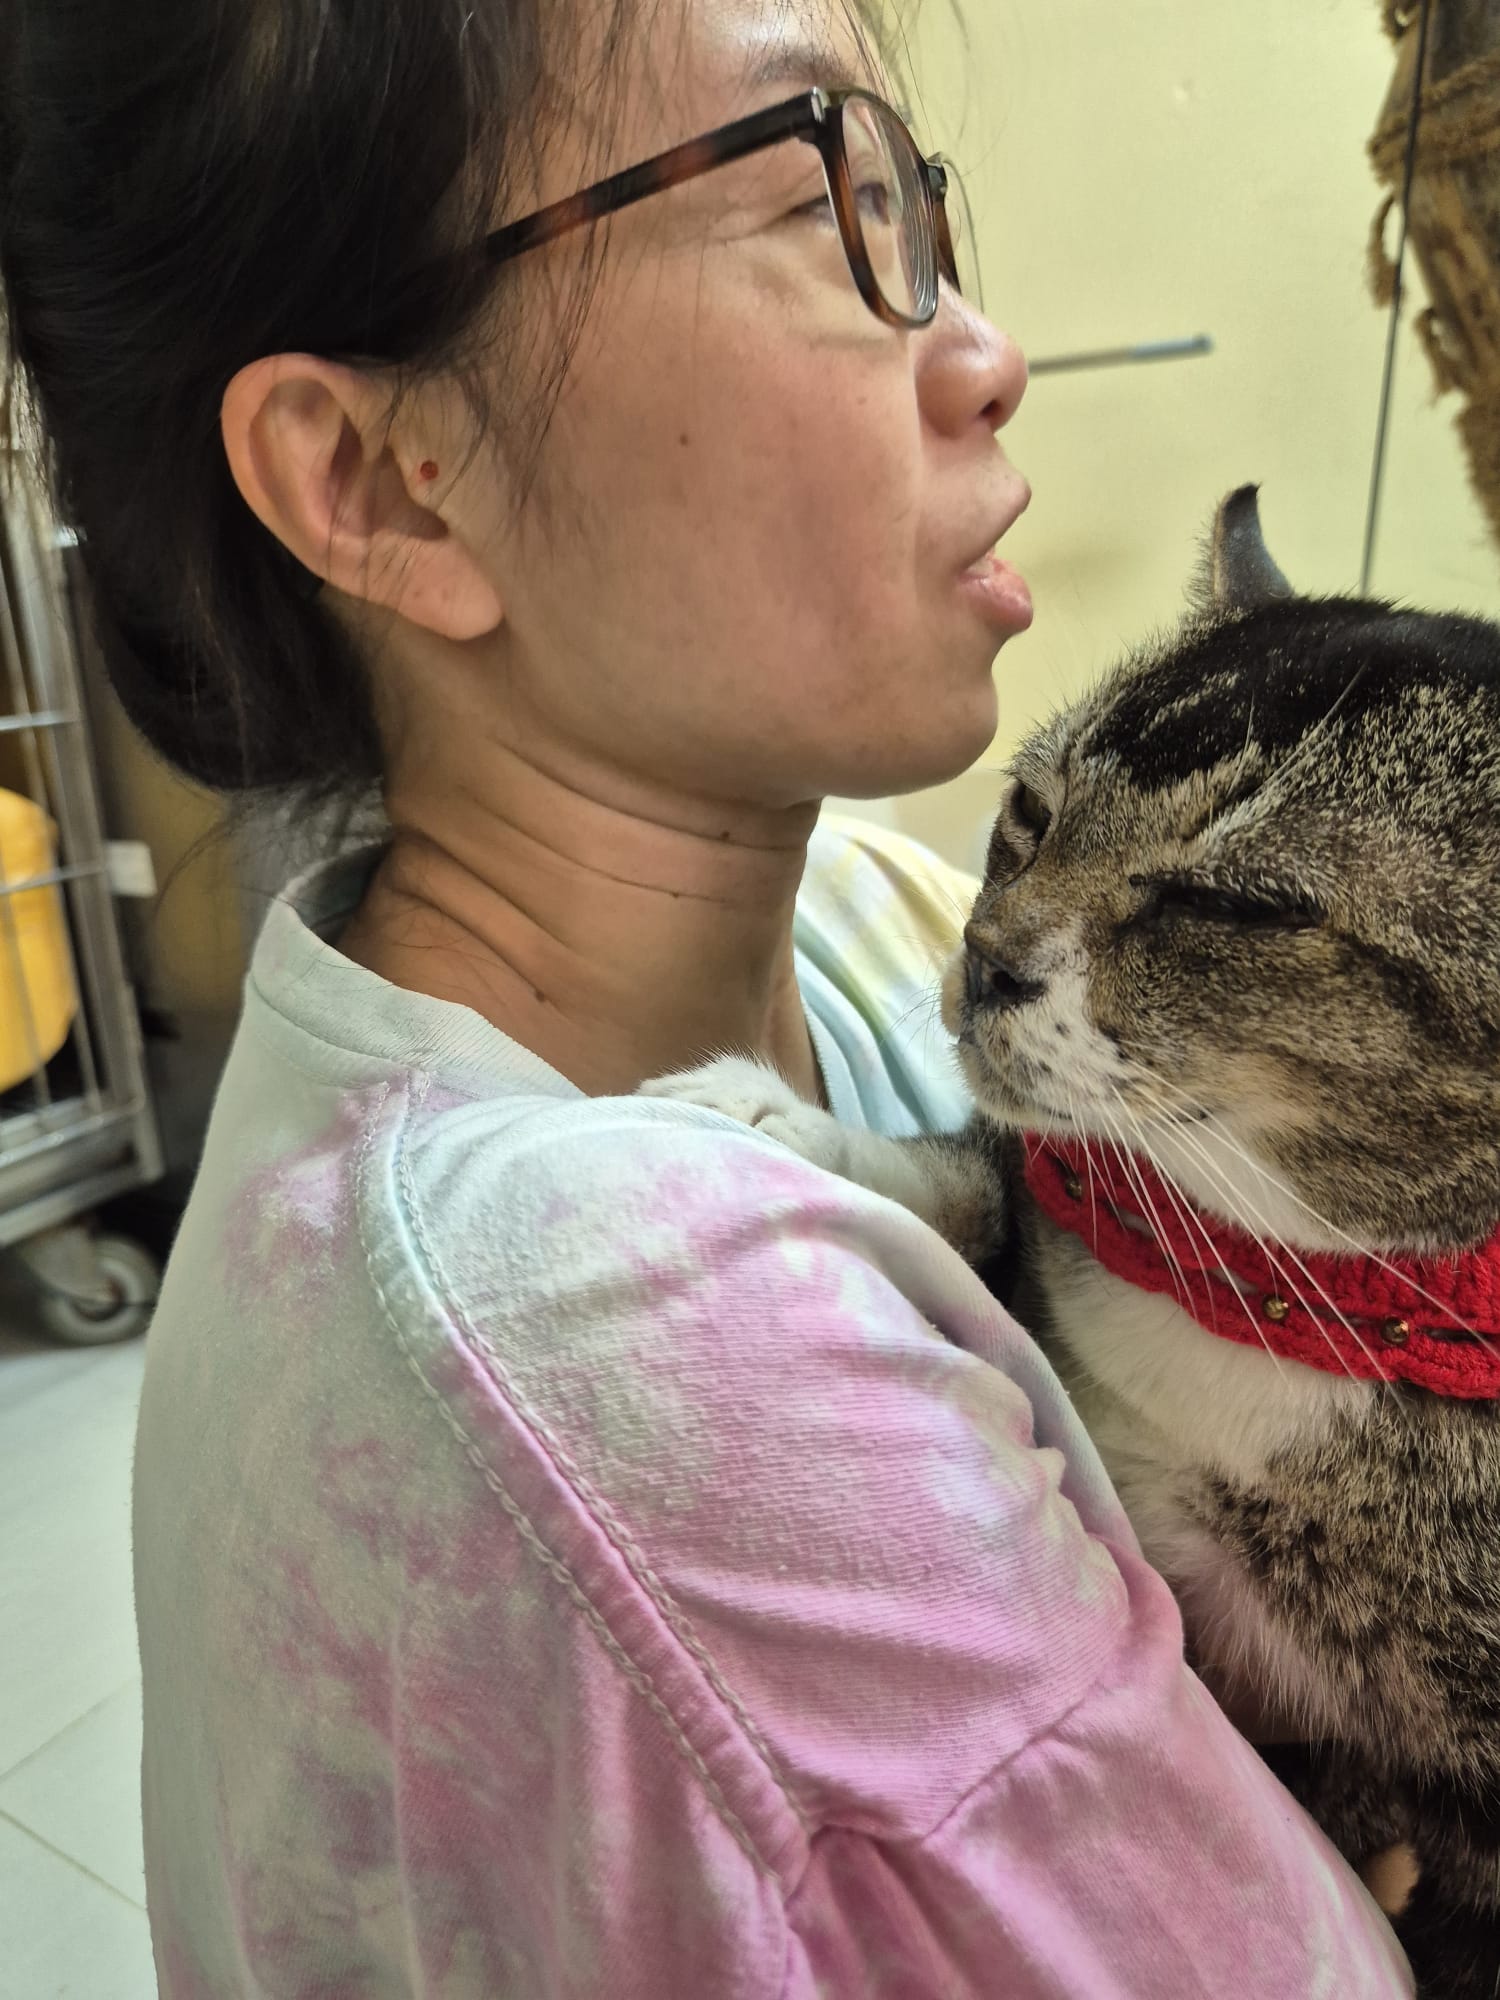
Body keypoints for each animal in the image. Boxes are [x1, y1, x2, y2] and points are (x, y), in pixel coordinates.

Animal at [645, 488, 1500, 1997]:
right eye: (1031, 813)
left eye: (1238, 905)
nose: (986, 954)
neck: (1250, 1283)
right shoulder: (1045, 1191)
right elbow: (981, 1175)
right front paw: (778, 1120)